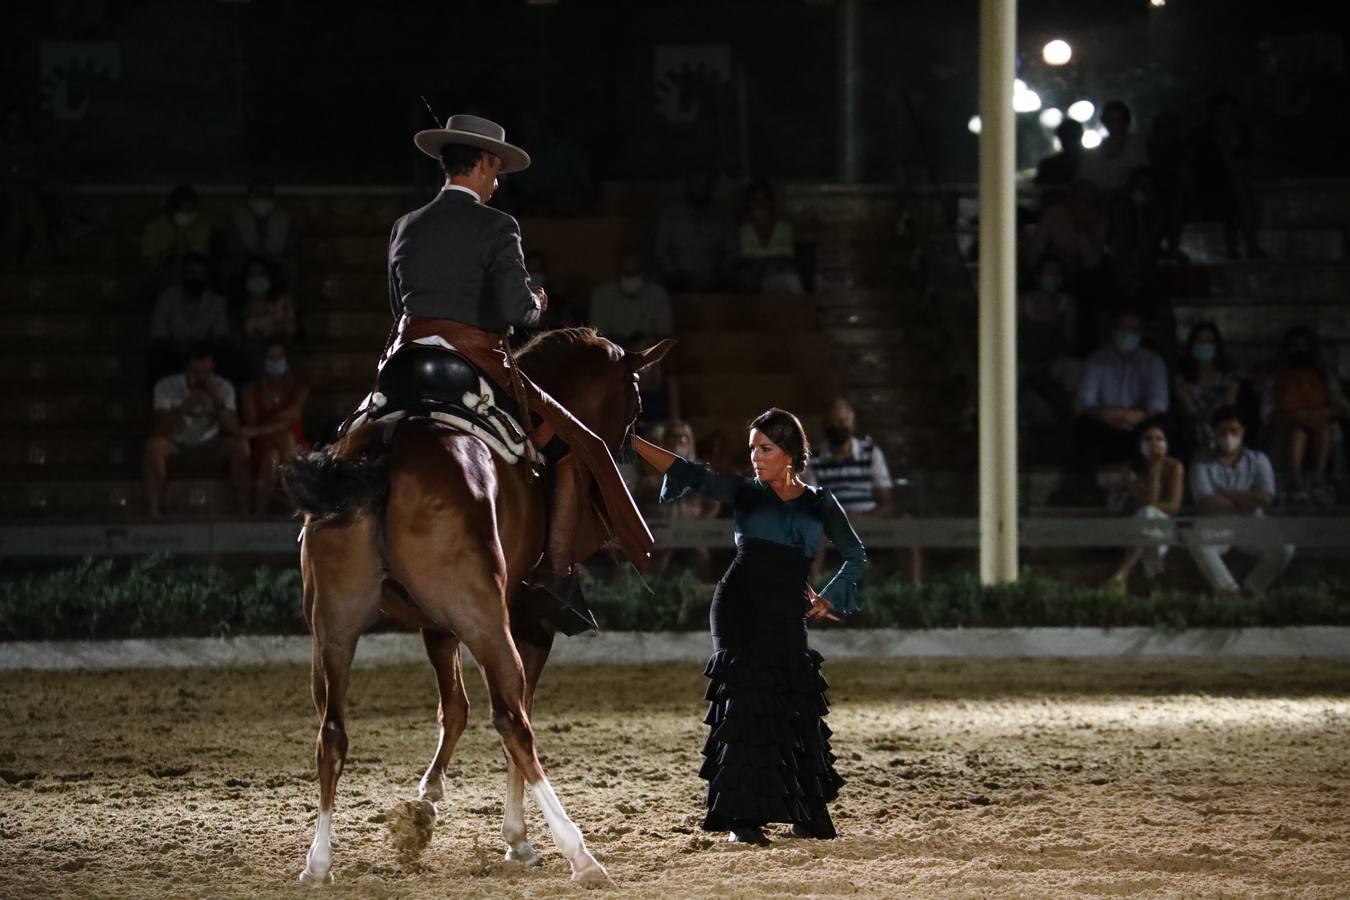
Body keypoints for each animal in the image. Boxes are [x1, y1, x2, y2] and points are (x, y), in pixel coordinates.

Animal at [282, 325, 672, 885]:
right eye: (636, 402)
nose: (628, 449)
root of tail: (386, 448)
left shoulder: (437, 627)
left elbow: (454, 709)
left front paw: (427, 800)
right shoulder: (528, 627)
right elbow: (511, 715)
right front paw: (517, 838)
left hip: (333, 628)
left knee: (332, 733)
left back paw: (318, 862)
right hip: (486, 622)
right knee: (513, 722)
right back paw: (578, 852)